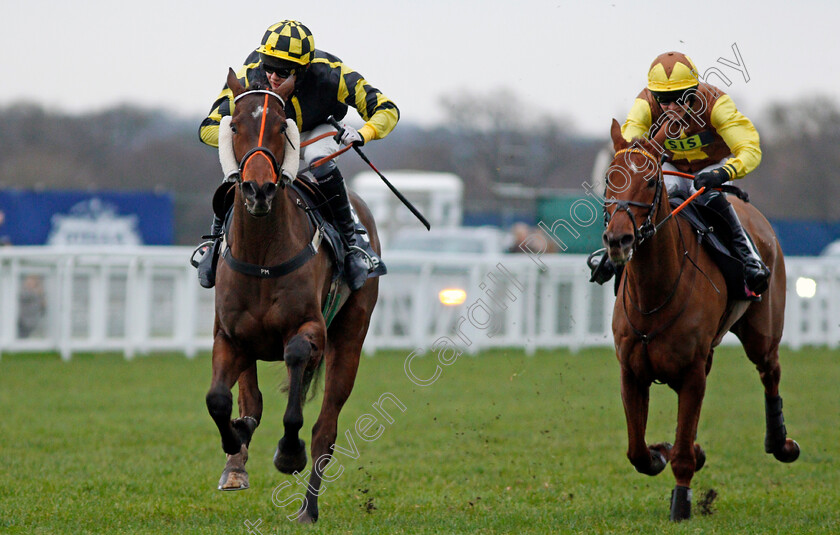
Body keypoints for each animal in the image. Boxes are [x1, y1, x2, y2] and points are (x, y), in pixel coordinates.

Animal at [207, 69, 380, 524]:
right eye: (235, 126)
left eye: (281, 128)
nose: (258, 190)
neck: (264, 253)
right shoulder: (229, 336)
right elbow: (219, 400)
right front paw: (234, 442)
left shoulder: (311, 327)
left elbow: (297, 364)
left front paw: (288, 453)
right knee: (251, 401)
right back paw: (237, 461)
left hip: (350, 338)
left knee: (325, 429)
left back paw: (308, 508)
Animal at [604, 119, 800, 520]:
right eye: (609, 178)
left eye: (651, 181)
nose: (618, 239)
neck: (654, 294)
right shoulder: (632, 371)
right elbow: (637, 451)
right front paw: (663, 452)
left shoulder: (692, 372)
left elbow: (681, 452)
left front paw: (682, 502)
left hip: (762, 331)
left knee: (770, 371)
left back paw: (780, 442)